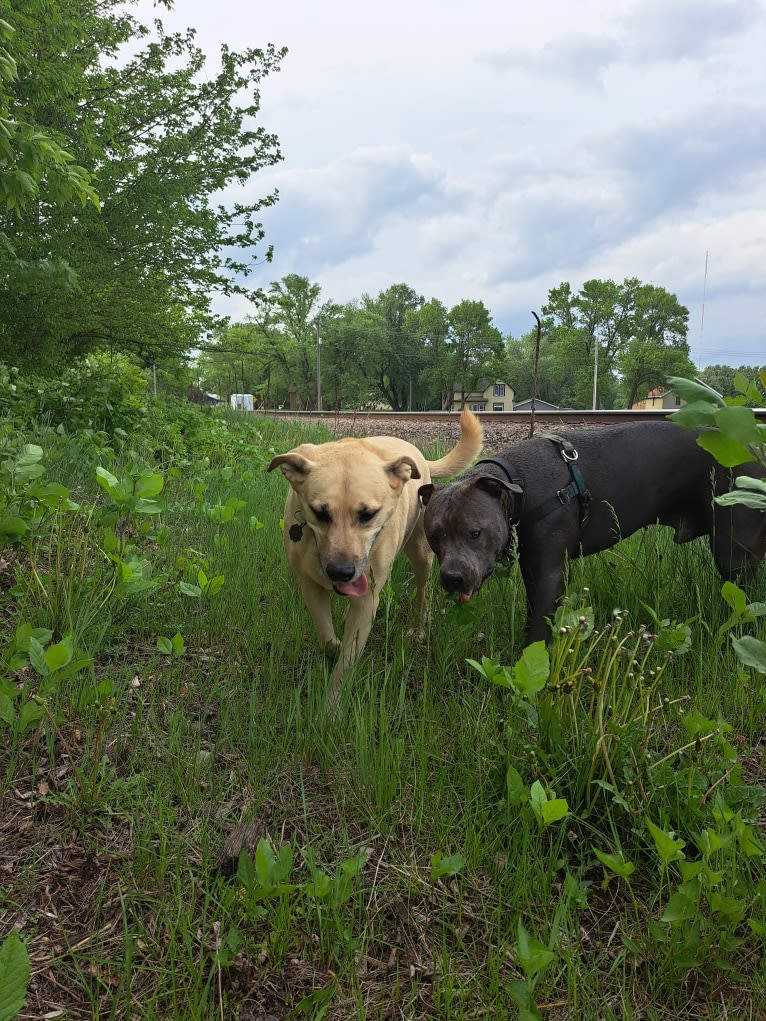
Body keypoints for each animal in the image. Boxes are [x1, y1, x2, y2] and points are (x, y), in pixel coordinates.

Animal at [269, 410, 482, 698]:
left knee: (422, 590)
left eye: (368, 514)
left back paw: (417, 627)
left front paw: (331, 704)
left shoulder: (367, 598)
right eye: (319, 513)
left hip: (419, 551)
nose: (340, 572)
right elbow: (326, 637)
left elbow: (346, 662)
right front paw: (335, 646)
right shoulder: (310, 585)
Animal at [420, 418, 766, 641]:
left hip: (733, 551)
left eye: (474, 533)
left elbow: (536, 632)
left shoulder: (550, 574)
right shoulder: (533, 569)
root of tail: (753, 452)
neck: (517, 486)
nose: (452, 578)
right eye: (434, 537)